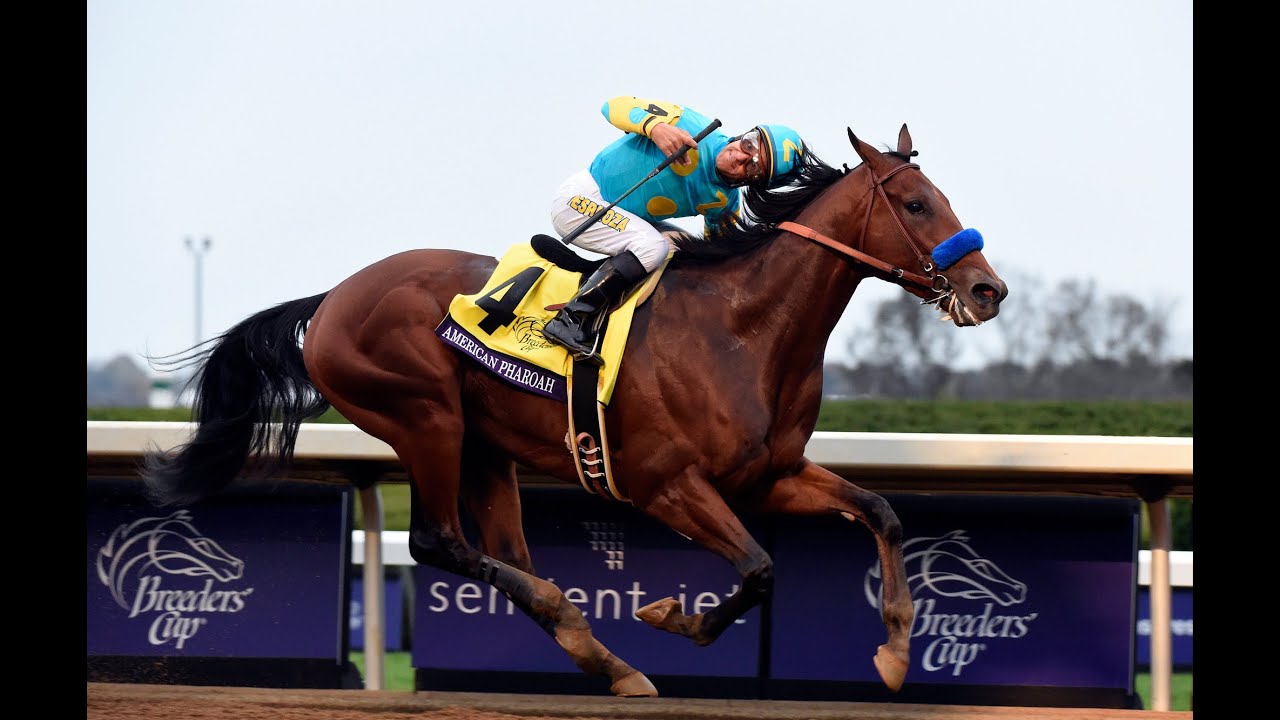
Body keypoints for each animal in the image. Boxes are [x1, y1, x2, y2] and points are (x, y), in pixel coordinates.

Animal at [140, 124, 1008, 697]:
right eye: (915, 202)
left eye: (940, 197)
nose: (987, 288)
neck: (741, 328)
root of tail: (330, 300)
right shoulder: (665, 484)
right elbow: (759, 569)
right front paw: (673, 618)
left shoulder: (771, 475)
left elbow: (880, 512)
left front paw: (895, 651)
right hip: (424, 417)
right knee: (436, 541)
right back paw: (595, 642)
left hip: (485, 445)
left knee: (501, 550)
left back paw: (597, 652)